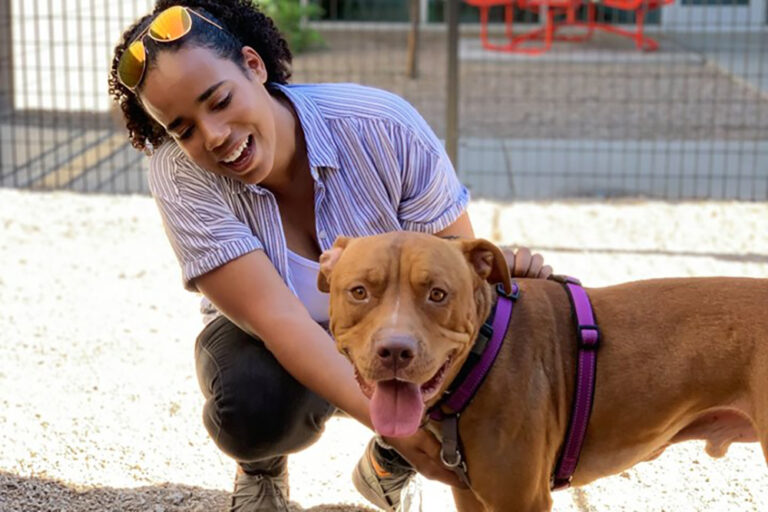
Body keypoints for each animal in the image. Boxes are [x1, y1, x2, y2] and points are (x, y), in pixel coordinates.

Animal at [318, 232, 768, 512]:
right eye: (359, 292)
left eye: (438, 294)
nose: (395, 351)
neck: (483, 353)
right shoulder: (471, 497)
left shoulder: (522, 500)